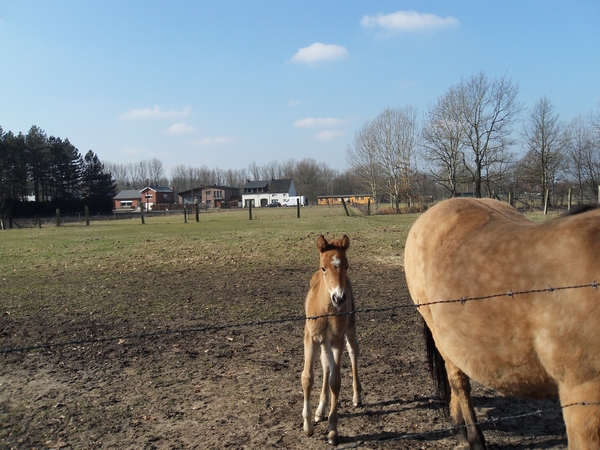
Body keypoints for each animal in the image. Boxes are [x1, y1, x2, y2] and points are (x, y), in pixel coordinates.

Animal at [300, 236, 360, 446]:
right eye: (323, 268)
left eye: (347, 266)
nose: (339, 298)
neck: (326, 310)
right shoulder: (310, 338)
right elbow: (307, 377)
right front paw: (308, 426)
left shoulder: (337, 340)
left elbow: (336, 381)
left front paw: (333, 430)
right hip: (323, 341)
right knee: (325, 364)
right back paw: (320, 410)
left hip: (350, 326)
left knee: (353, 350)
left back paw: (357, 397)